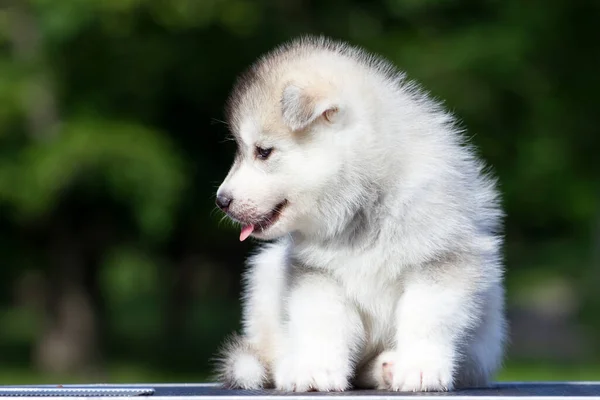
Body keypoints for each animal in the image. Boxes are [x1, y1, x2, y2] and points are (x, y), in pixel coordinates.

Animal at [216, 36, 506, 392]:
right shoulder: (319, 276)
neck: (361, 205)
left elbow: (425, 319)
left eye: (263, 152)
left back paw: (386, 367)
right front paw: (317, 369)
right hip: (266, 272)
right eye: (243, 151)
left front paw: (420, 367)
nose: (221, 200)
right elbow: (323, 325)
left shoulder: (439, 263)